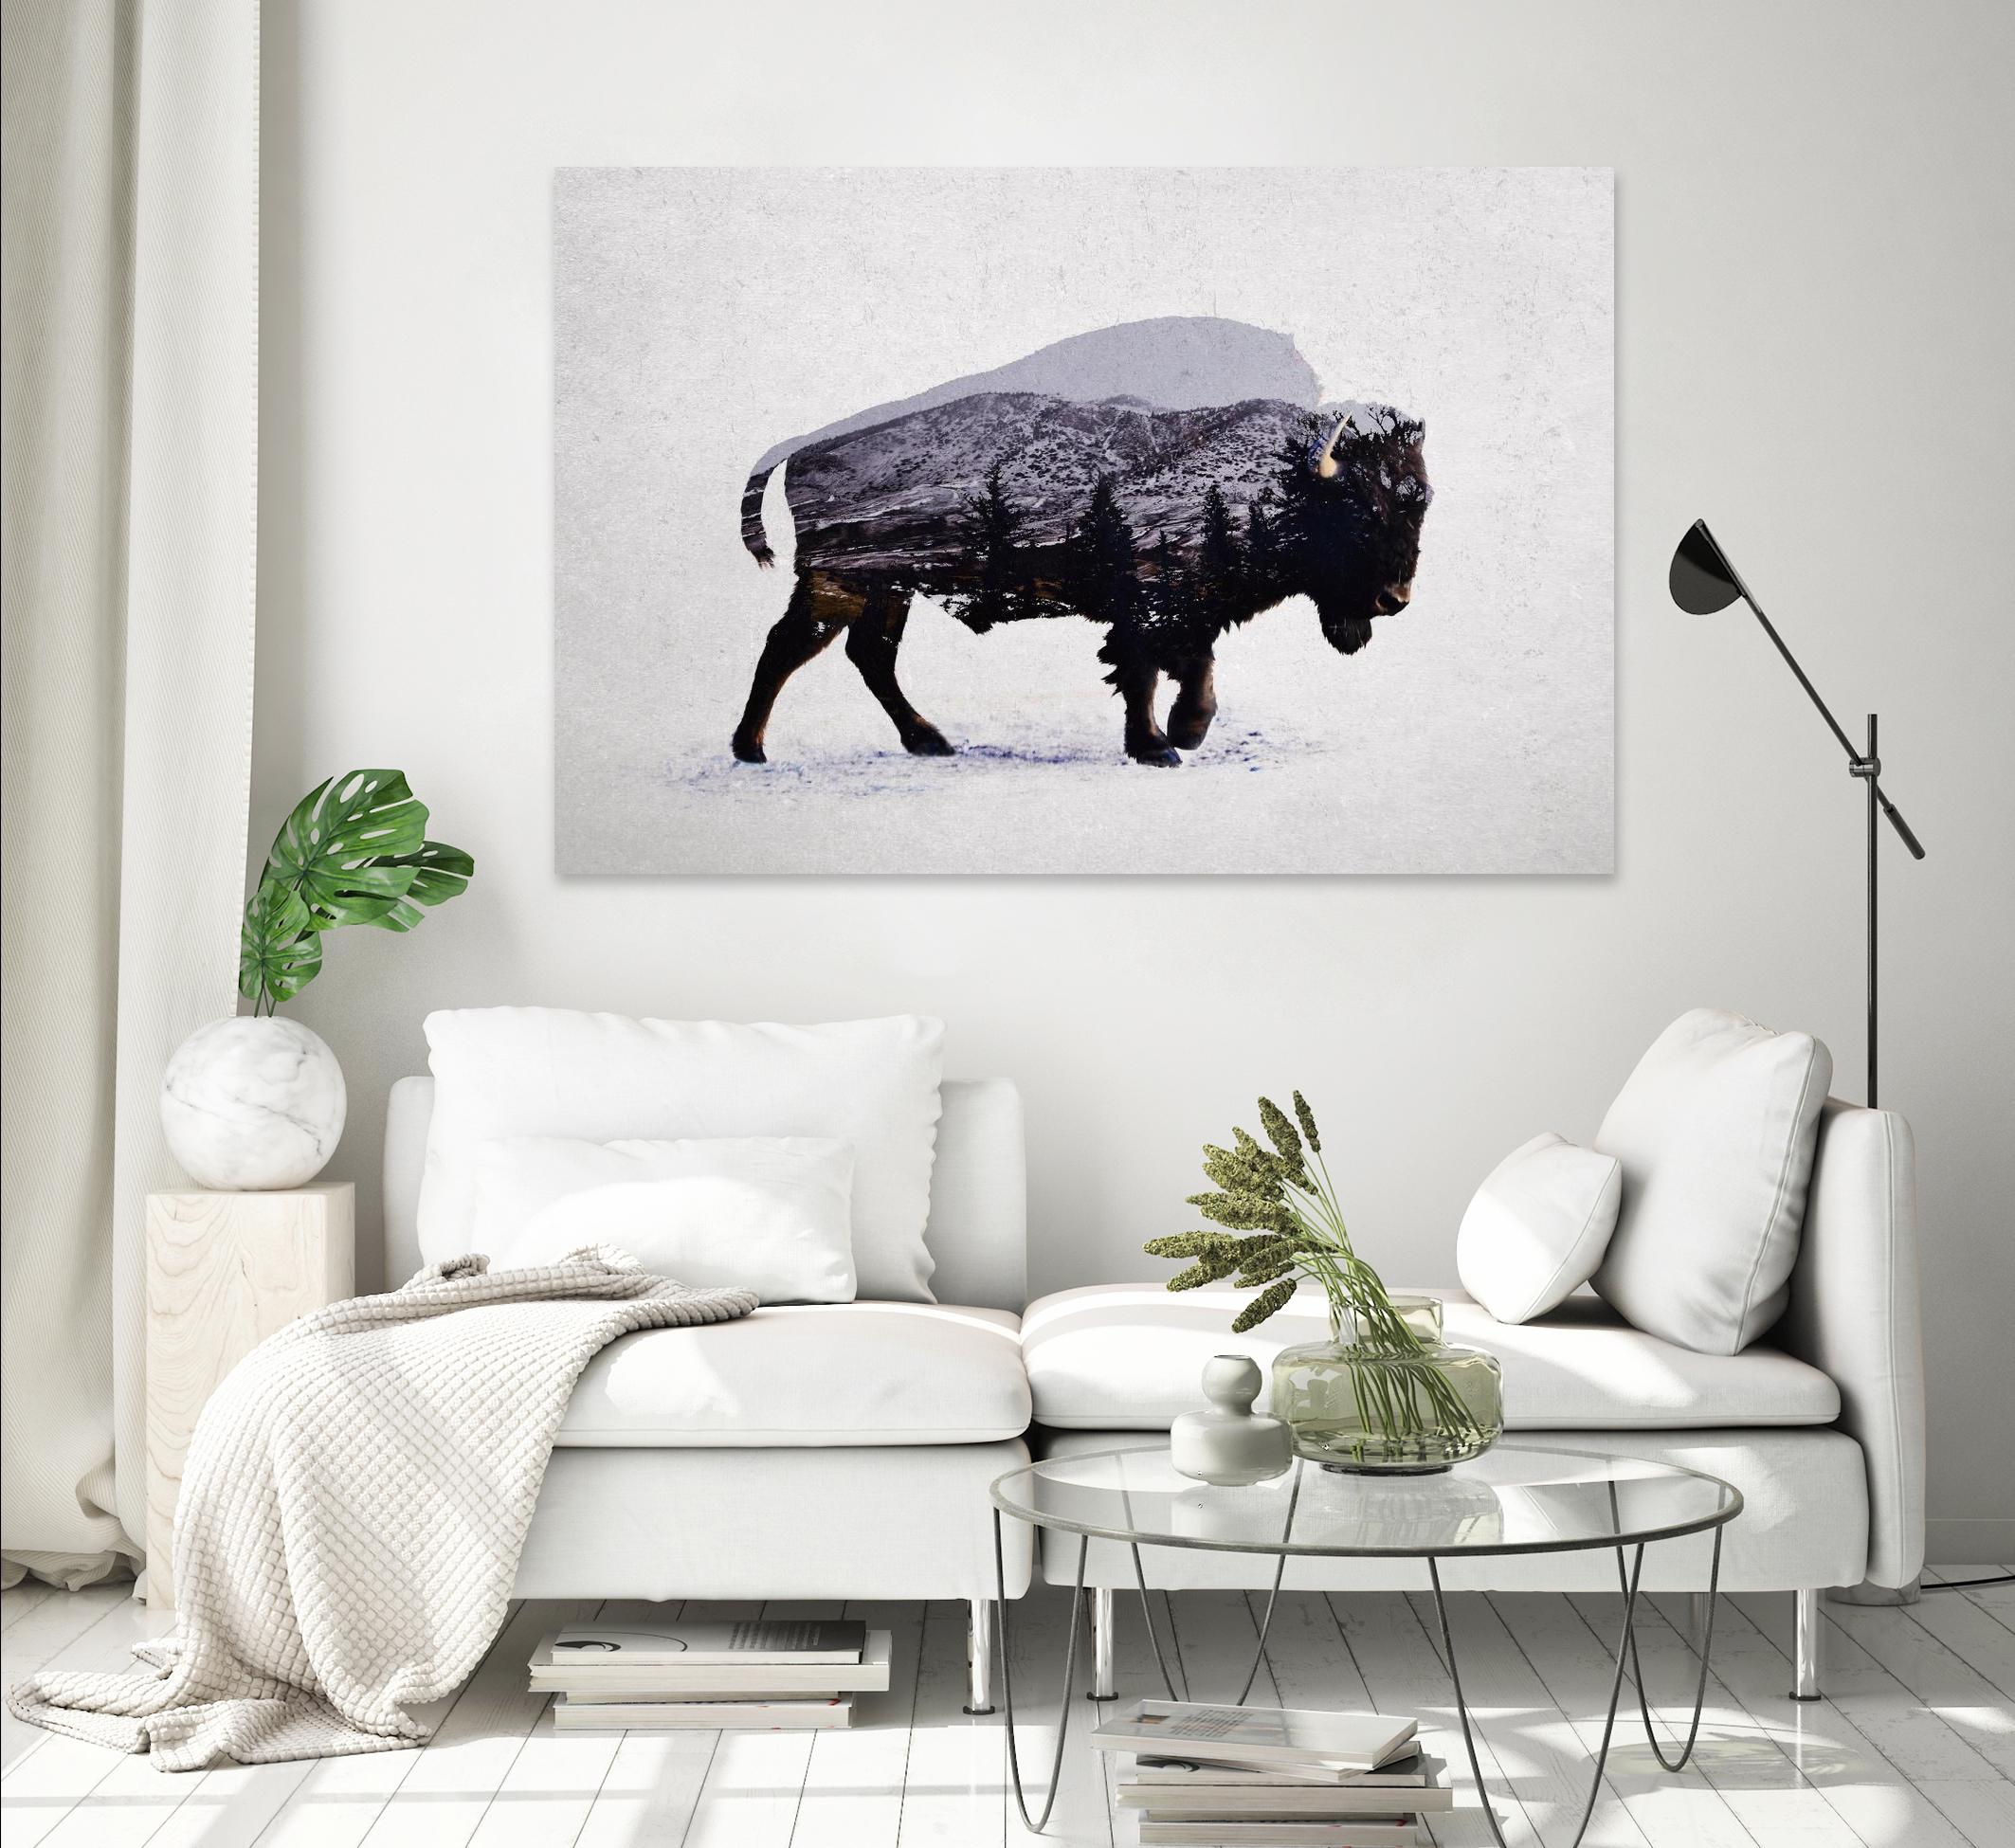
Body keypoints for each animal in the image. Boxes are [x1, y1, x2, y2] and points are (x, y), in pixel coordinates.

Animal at [731, 323, 1431, 767]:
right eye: (1363, 511)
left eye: (1419, 503)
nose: (1394, 599)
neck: (1278, 473)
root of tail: (802, 446)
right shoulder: (1153, 603)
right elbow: (1145, 671)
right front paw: (1162, 746)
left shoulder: (1190, 608)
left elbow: (1192, 669)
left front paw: (1185, 733)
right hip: (838, 583)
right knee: (789, 647)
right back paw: (752, 750)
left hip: (887, 587)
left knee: (869, 655)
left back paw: (929, 741)